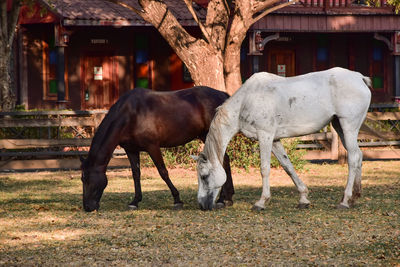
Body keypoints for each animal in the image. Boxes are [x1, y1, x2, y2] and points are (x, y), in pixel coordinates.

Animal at [79, 87, 233, 213]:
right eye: (82, 179)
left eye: (86, 178)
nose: (87, 207)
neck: (130, 114)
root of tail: (222, 94)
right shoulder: (131, 150)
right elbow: (136, 174)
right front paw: (135, 201)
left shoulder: (152, 147)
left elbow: (163, 172)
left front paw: (177, 200)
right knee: (225, 160)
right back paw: (227, 198)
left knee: (223, 161)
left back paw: (222, 199)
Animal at [192, 68, 370, 213]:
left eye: (204, 176)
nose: (201, 205)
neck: (247, 100)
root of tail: (359, 77)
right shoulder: (275, 140)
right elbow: (287, 166)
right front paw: (303, 198)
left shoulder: (265, 136)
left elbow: (264, 169)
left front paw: (261, 202)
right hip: (339, 127)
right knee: (359, 156)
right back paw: (355, 197)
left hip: (348, 127)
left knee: (353, 158)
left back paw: (345, 201)